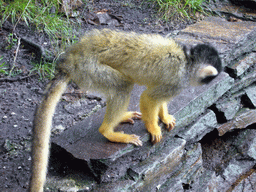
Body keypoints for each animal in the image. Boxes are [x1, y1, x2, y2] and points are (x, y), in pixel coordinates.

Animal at [29, 28, 222, 190]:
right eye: (208, 79)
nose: (206, 84)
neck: (188, 62)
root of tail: (70, 59)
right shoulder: (177, 82)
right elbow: (148, 98)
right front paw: (153, 128)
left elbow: (156, 95)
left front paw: (165, 116)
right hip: (89, 68)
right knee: (122, 86)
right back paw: (108, 131)